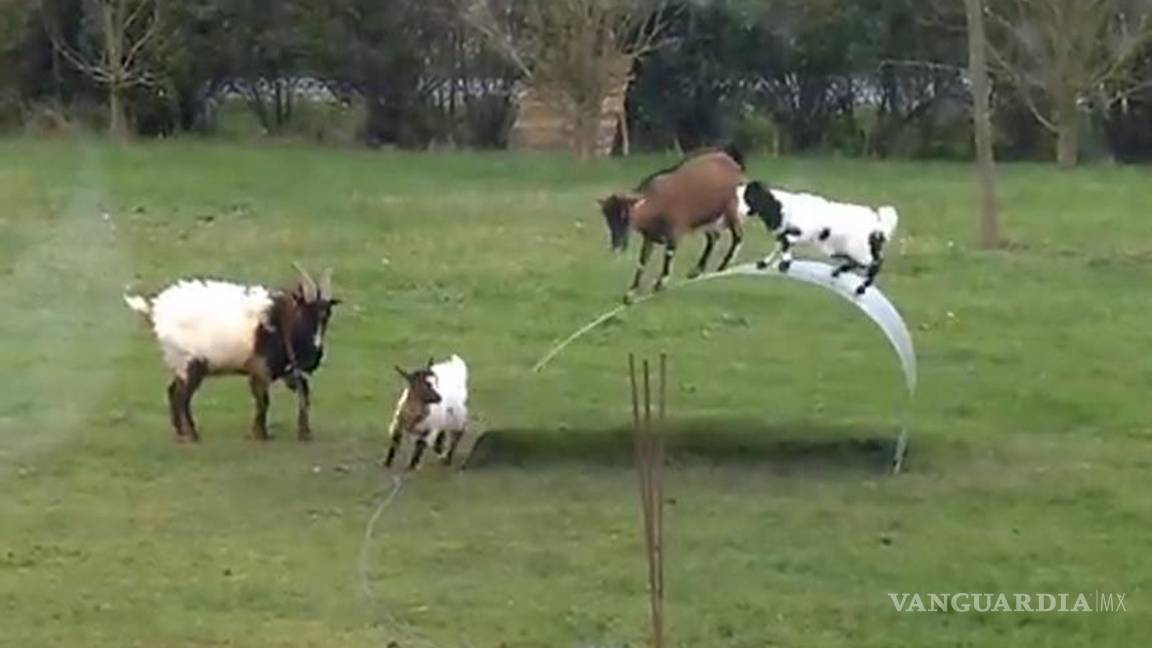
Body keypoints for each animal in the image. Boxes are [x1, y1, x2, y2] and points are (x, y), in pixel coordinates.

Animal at [128, 262, 340, 438]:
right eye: (304, 314)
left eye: (327, 315)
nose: (316, 353)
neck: (279, 321)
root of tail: (156, 310)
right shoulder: (261, 368)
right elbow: (263, 400)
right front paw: (260, 434)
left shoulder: (285, 370)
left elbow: (303, 393)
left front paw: (304, 432)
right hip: (190, 362)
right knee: (182, 397)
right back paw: (192, 435)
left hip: (180, 364)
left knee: (173, 391)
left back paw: (180, 432)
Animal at [746, 184, 898, 295]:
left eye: (749, 197)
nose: (744, 212)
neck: (787, 208)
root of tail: (879, 225)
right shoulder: (787, 232)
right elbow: (779, 244)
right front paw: (764, 263)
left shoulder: (802, 233)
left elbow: (785, 241)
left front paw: (785, 264)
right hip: (860, 250)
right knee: (864, 262)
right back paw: (839, 271)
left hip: (861, 251)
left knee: (875, 264)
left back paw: (861, 288)